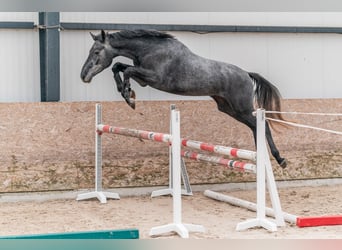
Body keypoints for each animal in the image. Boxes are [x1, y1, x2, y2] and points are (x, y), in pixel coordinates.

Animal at [80, 29, 286, 168]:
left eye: (96, 52)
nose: (83, 76)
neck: (149, 49)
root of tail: (246, 74)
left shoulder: (153, 78)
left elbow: (126, 69)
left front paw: (129, 96)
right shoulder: (144, 79)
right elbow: (119, 67)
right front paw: (127, 93)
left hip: (241, 108)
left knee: (263, 125)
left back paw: (278, 158)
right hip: (229, 109)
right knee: (255, 126)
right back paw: (266, 156)